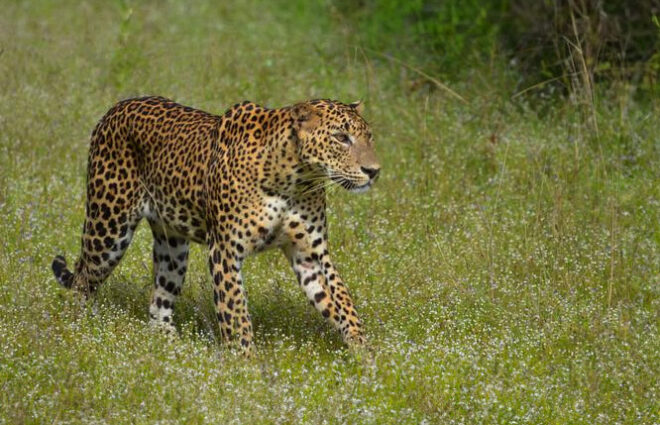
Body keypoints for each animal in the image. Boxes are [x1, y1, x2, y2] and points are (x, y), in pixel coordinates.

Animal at [51, 96, 382, 354]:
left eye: (369, 137)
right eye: (341, 137)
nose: (374, 171)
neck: (296, 178)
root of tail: (116, 107)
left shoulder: (311, 253)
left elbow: (344, 304)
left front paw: (368, 361)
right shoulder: (225, 250)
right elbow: (236, 314)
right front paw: (247, 369)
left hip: (172, 248)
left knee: (159, 302)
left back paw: (175, 349)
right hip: (108, 227)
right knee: (82, 278)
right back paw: (76, 331)